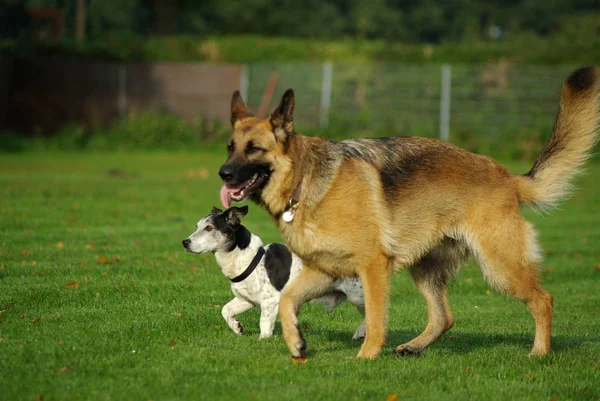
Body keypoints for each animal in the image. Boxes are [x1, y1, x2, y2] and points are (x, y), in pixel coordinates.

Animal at [180, 205, 366, 340]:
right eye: (197, 226)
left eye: (209, 228)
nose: (185, 242)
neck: (250, 258)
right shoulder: (246, 299)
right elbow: (225, 310)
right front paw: (237, 327)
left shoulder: (270, 301)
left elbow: (264, 322)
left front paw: (263, 339)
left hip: (357, 297)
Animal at [218, 66, 596, 360]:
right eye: (230, 147)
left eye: (254, 149)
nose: (223, 174)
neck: (305, 181)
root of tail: (507, 176)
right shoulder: (323, 269)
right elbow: (286, 301)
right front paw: (296, 342)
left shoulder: (373, 268)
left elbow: (374, 320)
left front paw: (366, 356)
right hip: (425, 270)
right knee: (444, 317)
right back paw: (415, 347)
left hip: (500, 267)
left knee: (543, 299)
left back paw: (540, 352)